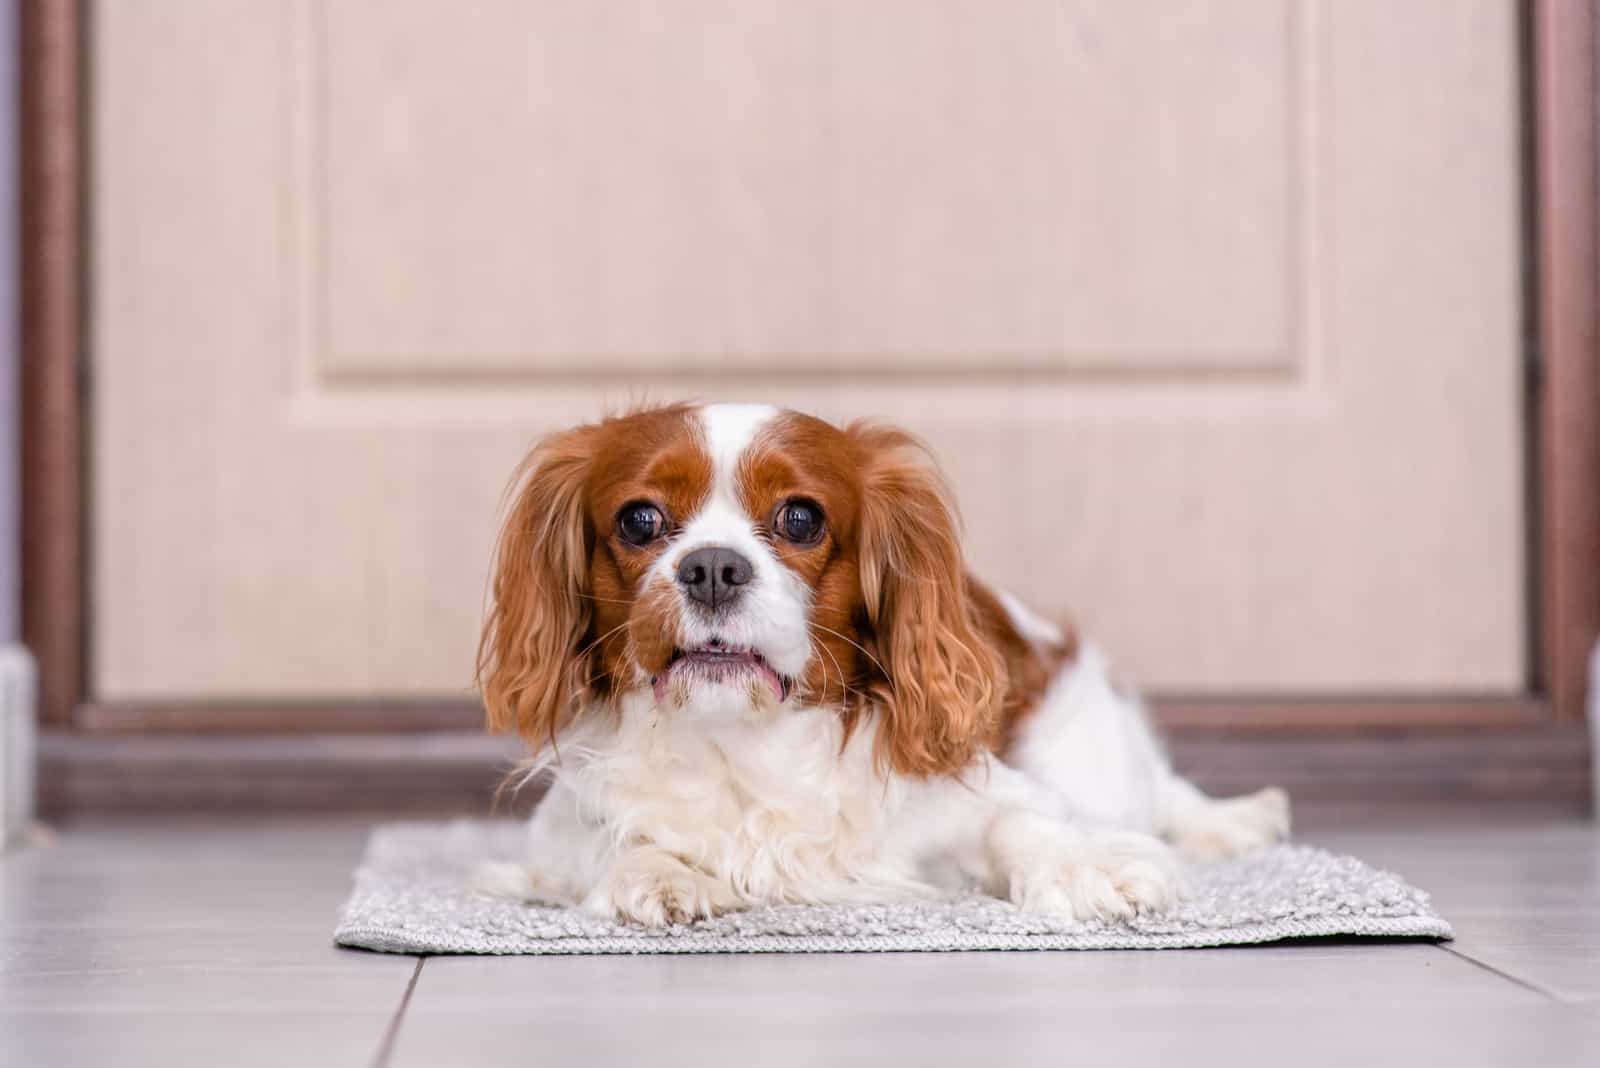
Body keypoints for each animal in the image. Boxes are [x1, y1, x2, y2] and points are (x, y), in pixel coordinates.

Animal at [473, 402, 1286, 927]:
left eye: (801, 518)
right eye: (640, 520)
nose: (711, 568)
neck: (743, 741)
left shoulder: (977, 793)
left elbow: (1020, 821)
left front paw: (1091, 867)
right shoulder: (557, 827)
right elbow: (608, 838)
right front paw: (656, 871)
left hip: (1092, 759)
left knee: (1158, 795)